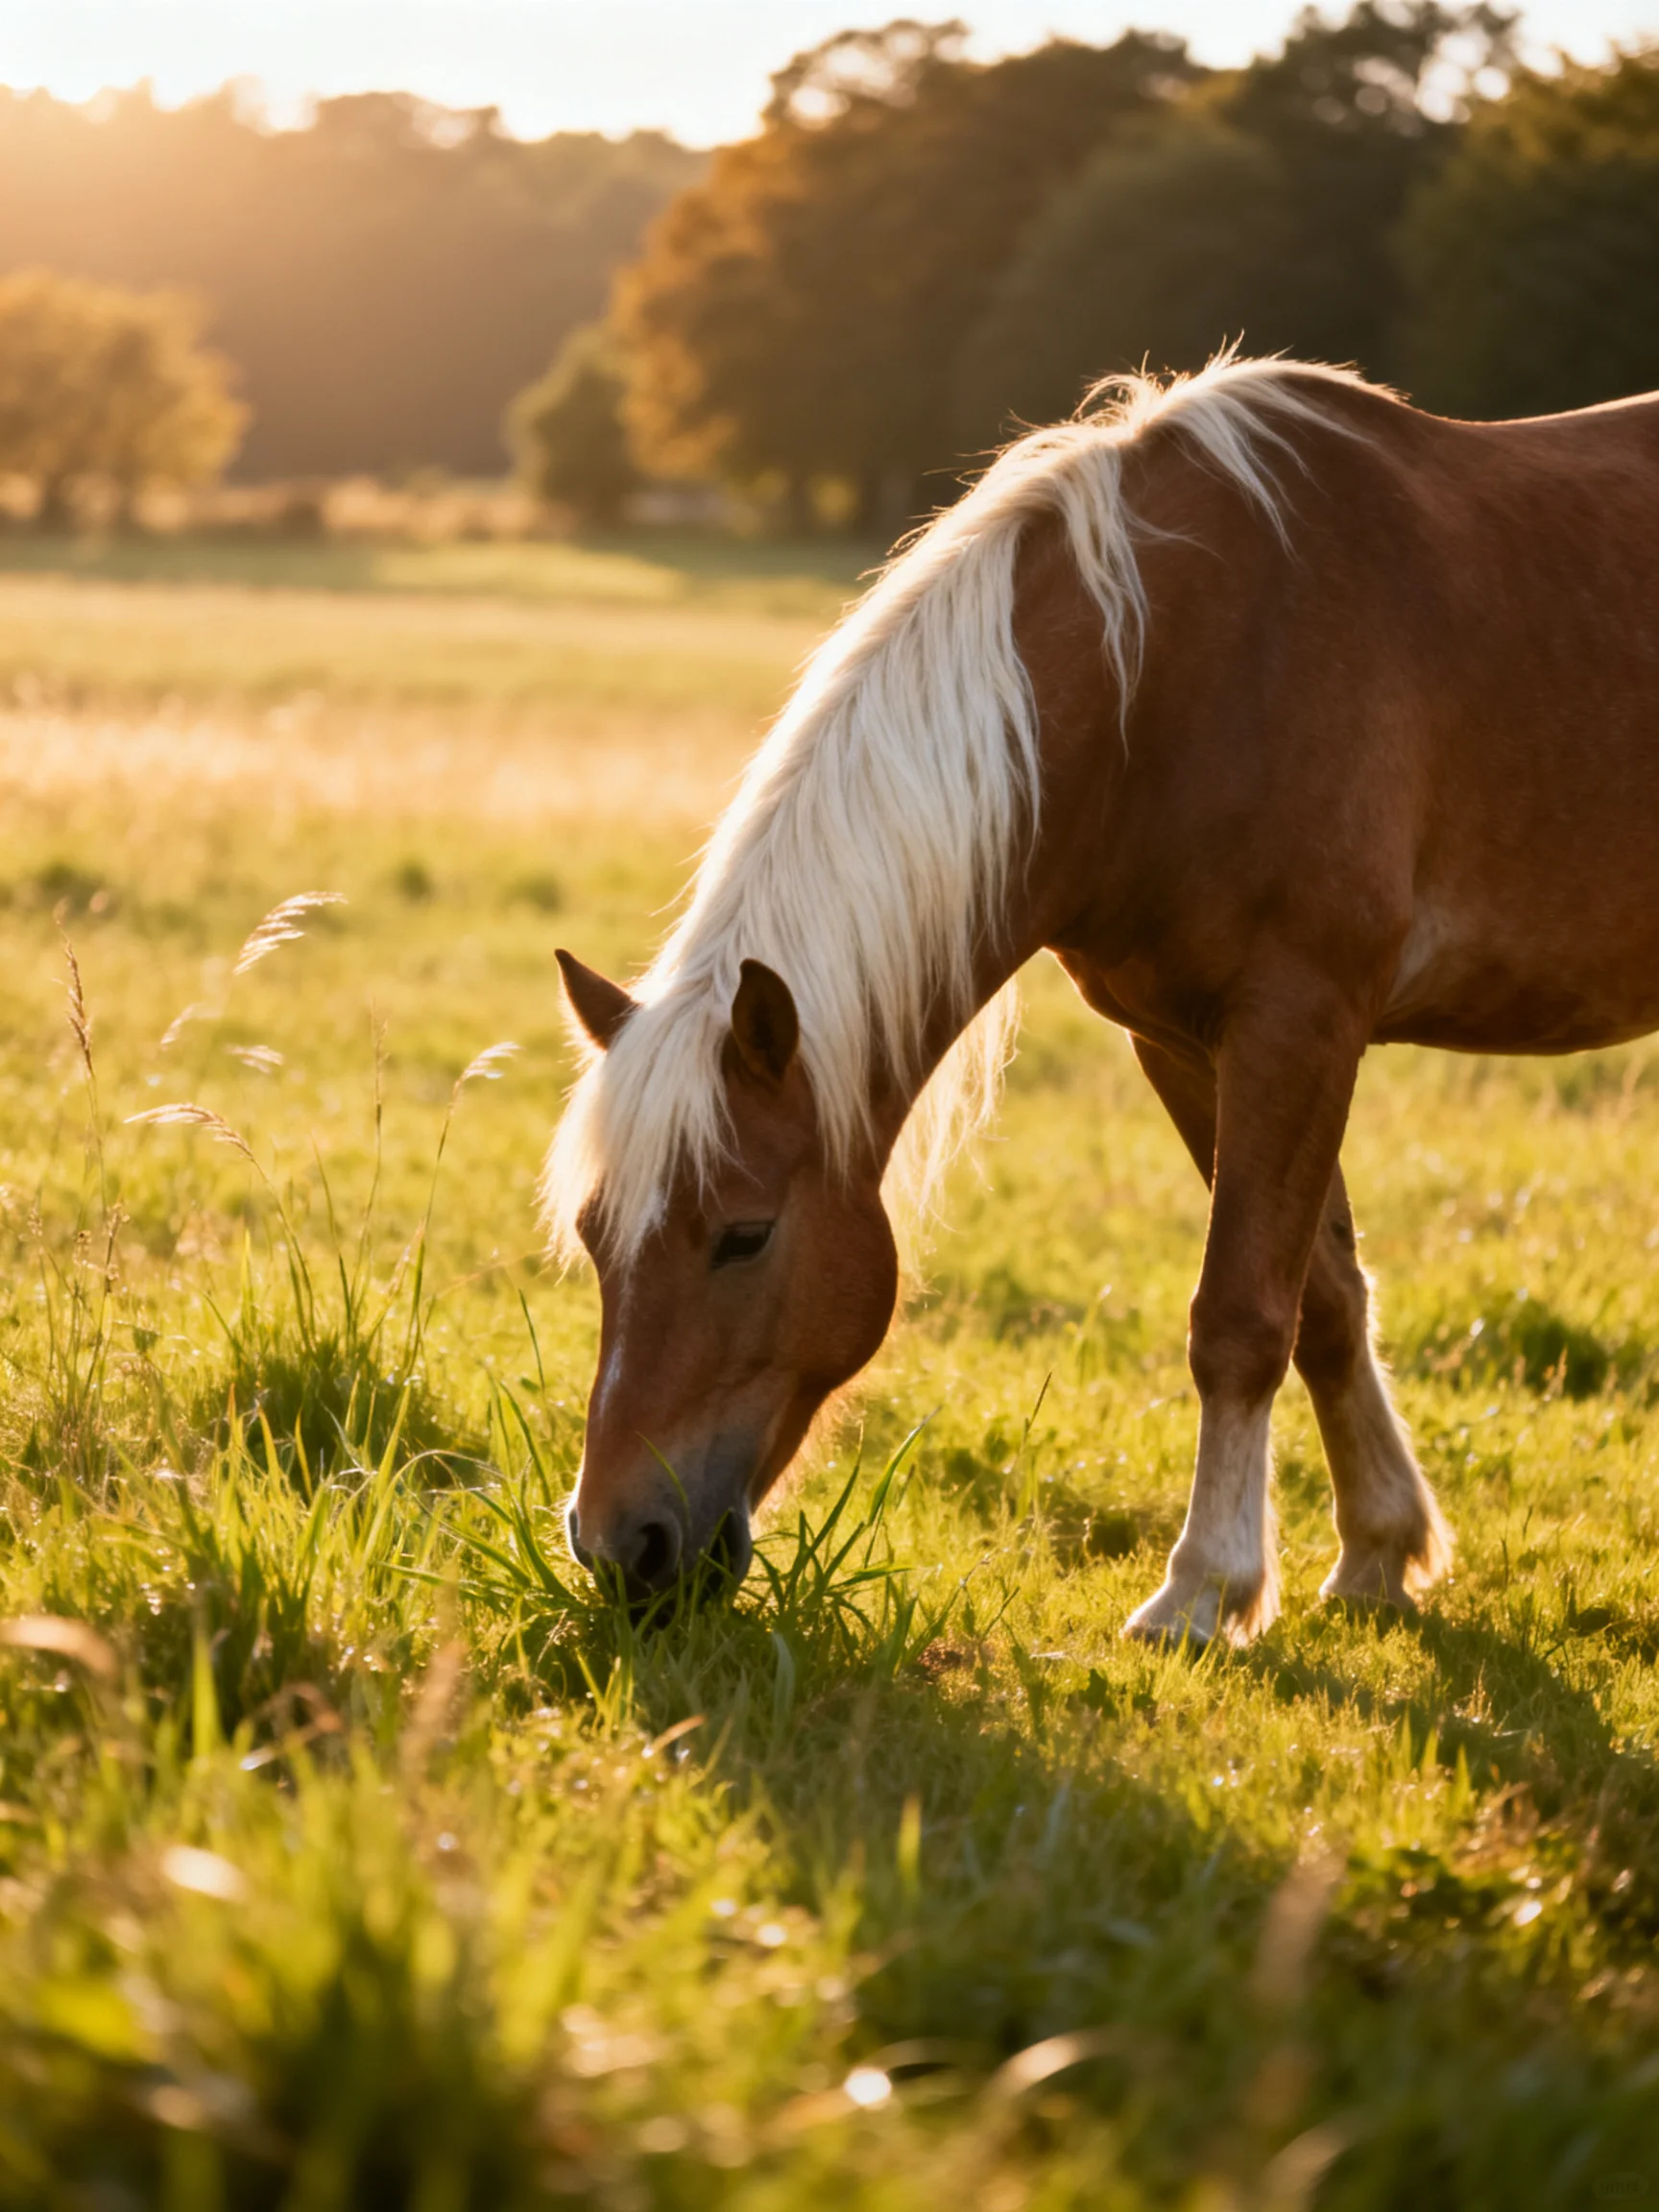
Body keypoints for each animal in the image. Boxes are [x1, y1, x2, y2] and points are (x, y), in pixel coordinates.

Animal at [542, 353, 1659, 1646]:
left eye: (745, 1235)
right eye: (595, 1236)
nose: (619, 1549)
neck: (1174, 675)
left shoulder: (1299, 1021)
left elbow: (1240, 1317)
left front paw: (1205, 1589)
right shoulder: (1182, 1041)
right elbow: (1322, 1300)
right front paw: (1379, 1550)